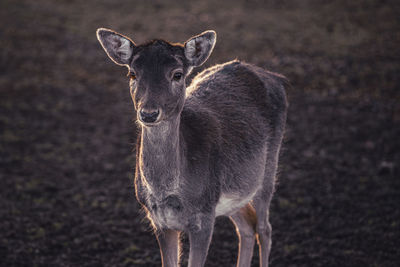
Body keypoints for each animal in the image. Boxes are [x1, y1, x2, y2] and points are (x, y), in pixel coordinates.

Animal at [96, 28, 288, 267]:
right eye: (132, 74)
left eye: (177, 74)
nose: (148, 113)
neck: (168, 192)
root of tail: (276, 78)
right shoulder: (159, 220)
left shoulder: (203, 217)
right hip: (235, 191)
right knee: (247, 225)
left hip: (268, 169)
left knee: (264, 227)